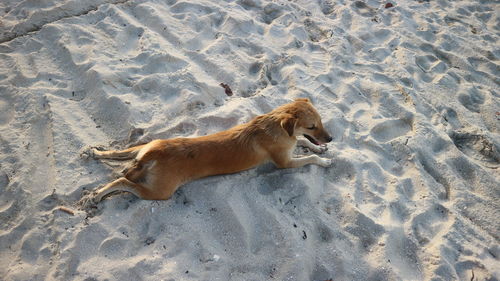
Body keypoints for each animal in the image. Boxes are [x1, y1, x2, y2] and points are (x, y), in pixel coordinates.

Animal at [87, 97, 332, 200]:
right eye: (312, 126)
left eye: (321, 121)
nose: (331, 138)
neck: (274, 126)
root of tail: (155, 154)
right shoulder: (285, 162)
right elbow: (308, 157)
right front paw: (323, 160)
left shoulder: (292, 142)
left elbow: (304, 142)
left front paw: (318, 149)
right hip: (159, 192)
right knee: (122, 181)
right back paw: (98, 196)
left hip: (147, 145)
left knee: (119, 153)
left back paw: (96, 153)